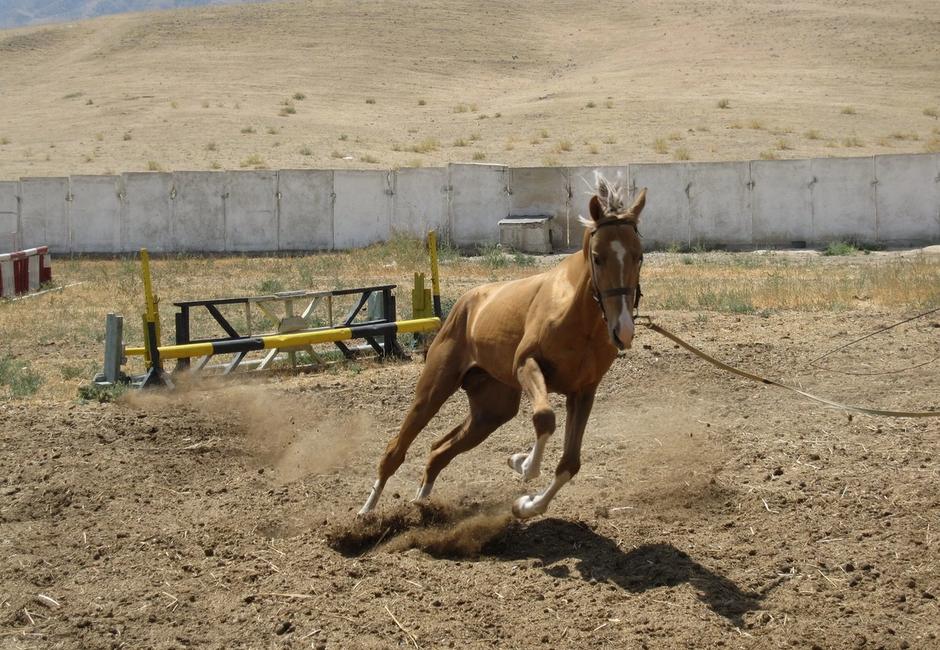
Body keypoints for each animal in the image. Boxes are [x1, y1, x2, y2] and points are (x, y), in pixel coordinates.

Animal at [359, 172, 647, 519]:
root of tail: (466, 303)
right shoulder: (527, 365)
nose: (623, 330)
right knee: (396, 450)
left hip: (491, 409)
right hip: (433, 390)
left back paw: (423, 504)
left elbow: (569, 464)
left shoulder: (583, 391)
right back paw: (365, 513)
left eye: (640, 255)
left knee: (439, 450)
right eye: (597, 257)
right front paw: (522, 464)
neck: (579, 317)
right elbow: (544, 418)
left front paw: (527, 504)